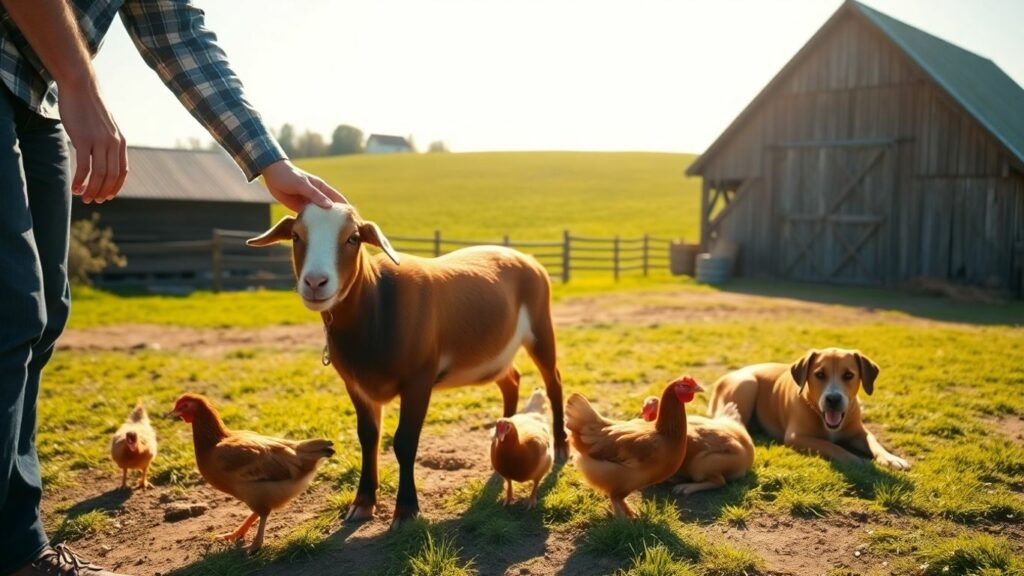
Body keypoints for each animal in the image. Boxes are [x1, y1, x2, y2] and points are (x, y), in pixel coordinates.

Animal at [247, 204, 567, 529]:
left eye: (352, 238)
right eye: (296, 236)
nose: (315, 283)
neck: (377, 305)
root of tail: (527, 258)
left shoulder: (418, 381)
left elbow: (405, 441)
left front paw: (406, 510)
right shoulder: (357, 385)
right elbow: (368, 437)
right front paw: (363, 503)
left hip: (540, 326)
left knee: (553, 380)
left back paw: (561, 444)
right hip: (494, 356)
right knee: (511, 379)